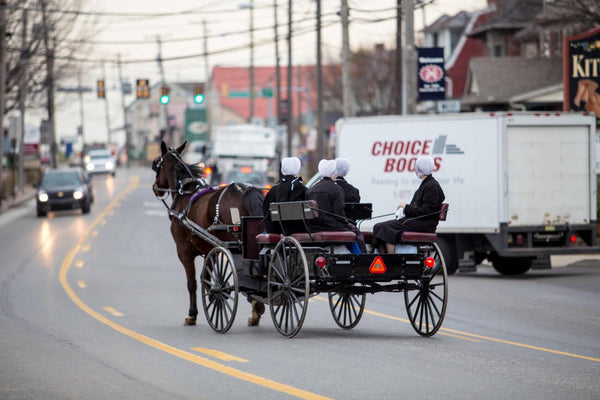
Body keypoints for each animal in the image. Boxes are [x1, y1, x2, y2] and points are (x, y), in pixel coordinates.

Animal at [151, 142, 264, 326]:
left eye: (157, 164)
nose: (155, 188)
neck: (185, 193)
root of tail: (242, 190)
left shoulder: (184, 250)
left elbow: (193, 282)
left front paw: (193, 314)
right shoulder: (210, 249)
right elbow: (207, 277)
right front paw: (213, 296)